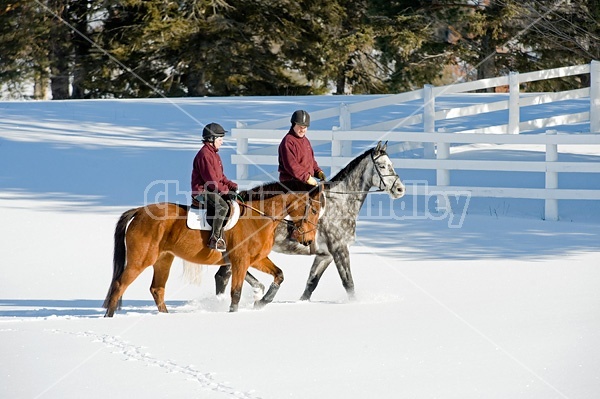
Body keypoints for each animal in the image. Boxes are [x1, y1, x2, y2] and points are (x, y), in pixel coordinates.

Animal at [102, 180, 324, 316]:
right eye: (314, 209)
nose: (308, 240)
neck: (258, 217)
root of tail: (139, 211)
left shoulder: (257, 259)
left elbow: (279, 275)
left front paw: (262, 302)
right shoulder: (240, 261)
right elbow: (236, 292)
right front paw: (234, 312)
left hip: (163, 259)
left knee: (157, 289)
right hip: (141, 260)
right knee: (119, 285)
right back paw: (109, 317)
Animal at [193, 141, 404, 300]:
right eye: (382, 166)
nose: (400, 189)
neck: (339, 204)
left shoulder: (324, 255)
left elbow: (311, 284)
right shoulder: (340, 250)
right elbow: (348, 283)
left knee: (225, 275)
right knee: (224, 275)